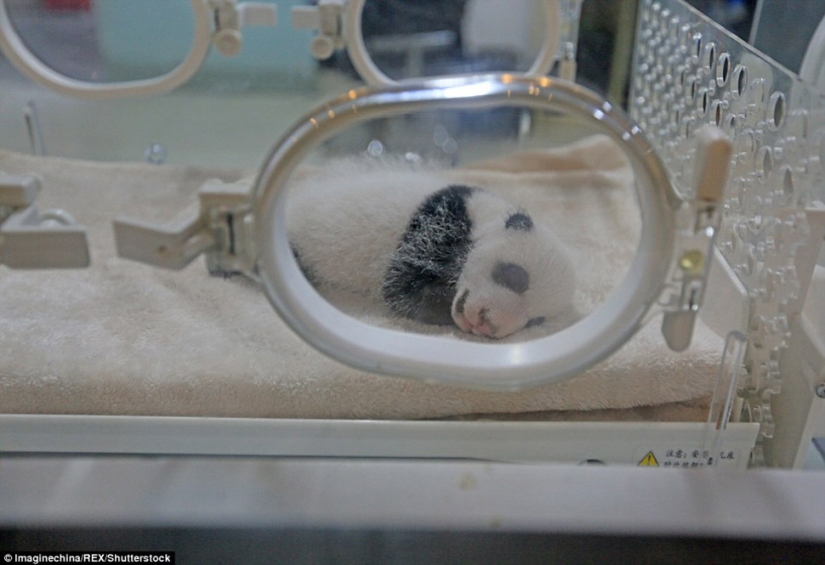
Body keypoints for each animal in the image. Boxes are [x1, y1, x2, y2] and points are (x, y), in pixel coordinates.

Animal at [286, 158, 576, 339]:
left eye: (536, 320)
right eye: (514, 276)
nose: (488, 324)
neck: (488, 217)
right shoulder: (440, 221)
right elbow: (399, 286)